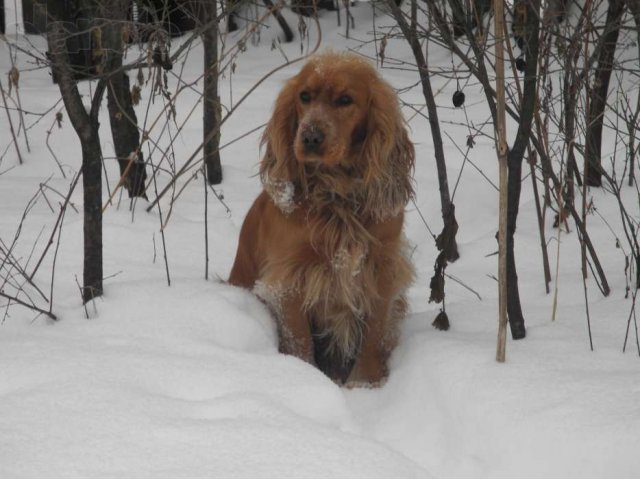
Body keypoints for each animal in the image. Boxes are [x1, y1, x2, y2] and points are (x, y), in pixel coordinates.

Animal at [229, 51, 416, 386]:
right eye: (304, 96)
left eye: (345, 100)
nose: (310, 137)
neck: (337, 196)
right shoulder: (289, 279)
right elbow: (299, 341)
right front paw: (305, 378)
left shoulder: (382, 268)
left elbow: (374, 334)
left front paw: (365, 384)